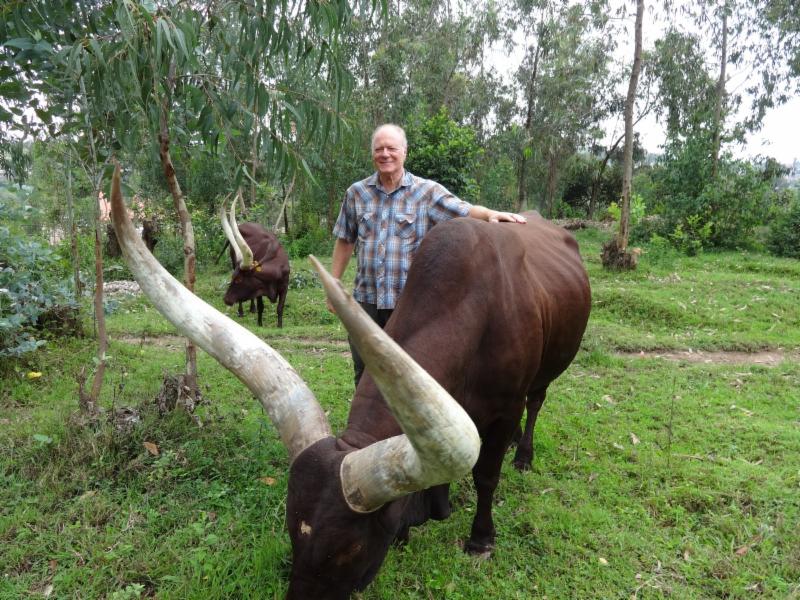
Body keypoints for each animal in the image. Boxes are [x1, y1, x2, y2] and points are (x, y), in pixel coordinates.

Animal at [219, 200, 290, 328]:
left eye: (238, 280)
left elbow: (280, 308)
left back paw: (252, 308)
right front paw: (259, 324)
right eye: (232, 277)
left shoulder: (285, 287)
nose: (226, 299)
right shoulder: (259, 288)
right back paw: (242, 311)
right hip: (233, 262)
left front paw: (279, 326)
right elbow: (261, 306)